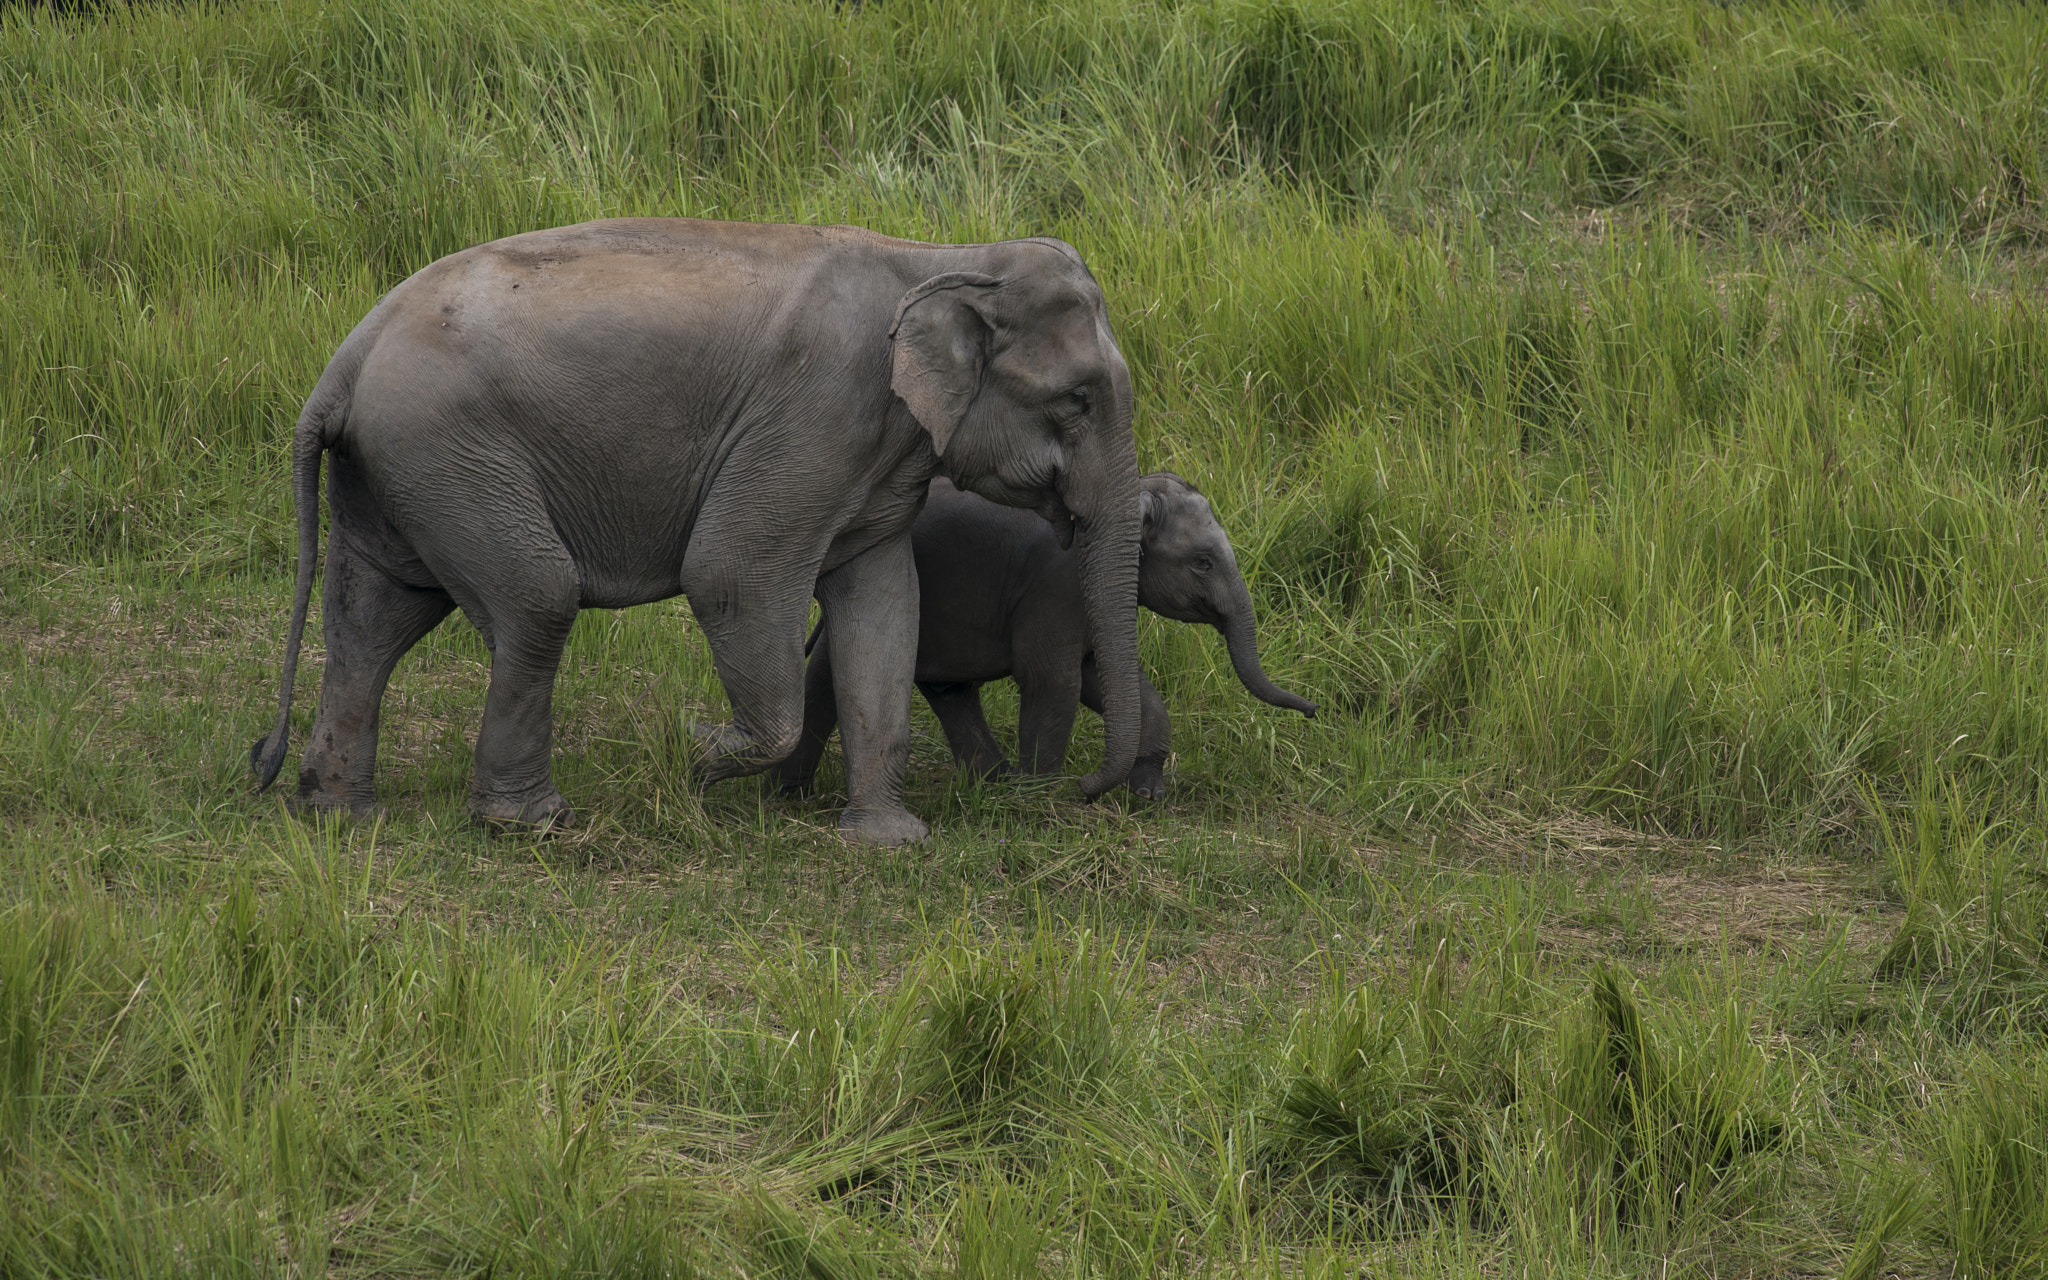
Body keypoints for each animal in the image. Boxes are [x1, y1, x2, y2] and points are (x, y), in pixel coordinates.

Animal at [249, 215, 1146, 843]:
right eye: (1077, 400)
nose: (1079, 791)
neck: (940, 257)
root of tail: (346, 357)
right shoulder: (816, 418)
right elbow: (731, 575)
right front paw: (693, 751)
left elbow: (884, 605)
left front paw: (888, 841)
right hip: (447, 452)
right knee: (533, 601)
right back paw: (529, 824)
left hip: (396, 468)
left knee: (376, 618)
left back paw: (340, 815)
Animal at [774, 475, 1318, 798]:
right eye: (1203, 562)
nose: (1314, 710)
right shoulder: (1057, 586)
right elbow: (1054, 680)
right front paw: (1043, 802)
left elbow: (1100, 678)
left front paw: (1147, 795)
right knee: (829, 675)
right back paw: (788, 796)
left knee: (949, 688)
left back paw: (994, 785)